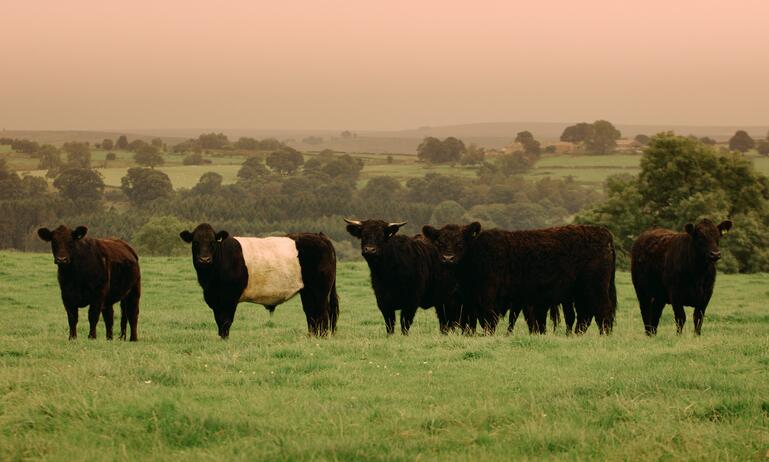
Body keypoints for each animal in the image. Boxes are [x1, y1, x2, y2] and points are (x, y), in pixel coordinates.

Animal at [182, 222, 338, 338]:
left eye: (212, 242)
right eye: (195, 242)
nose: (204, 259)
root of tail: (320, 236)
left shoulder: (229, 298)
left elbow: (225, 321)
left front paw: (225, 340)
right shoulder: (216, 300)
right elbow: (219, 321)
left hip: (320, 290)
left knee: (323, 312)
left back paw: (322, 337)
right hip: (307, 291)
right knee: (311, 313)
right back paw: (313, 337)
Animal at [424, 222, 616, 334]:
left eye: (460, 243)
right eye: (439, 243)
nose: (448, 258)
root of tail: (602, 232)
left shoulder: (488, 297)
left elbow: (488, 322)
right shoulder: (471, 301)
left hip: (595, 288)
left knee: (603, 312)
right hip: (579, 293)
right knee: (585, 316)